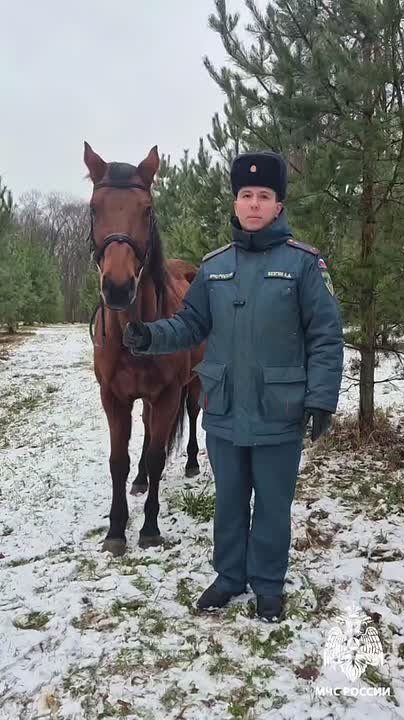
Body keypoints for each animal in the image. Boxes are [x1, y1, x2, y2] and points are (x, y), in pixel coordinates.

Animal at [84, 142, 204, 556]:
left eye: (147, 209)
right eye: (94, 208)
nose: (118, 288)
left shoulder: (167, 394)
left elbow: (155, 457)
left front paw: (149, 528)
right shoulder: (113, 397)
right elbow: (118, 460)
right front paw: (116, 530)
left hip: (192, 383)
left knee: (191, 414)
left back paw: (191, 463)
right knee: (150, 428)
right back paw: (138, 481)